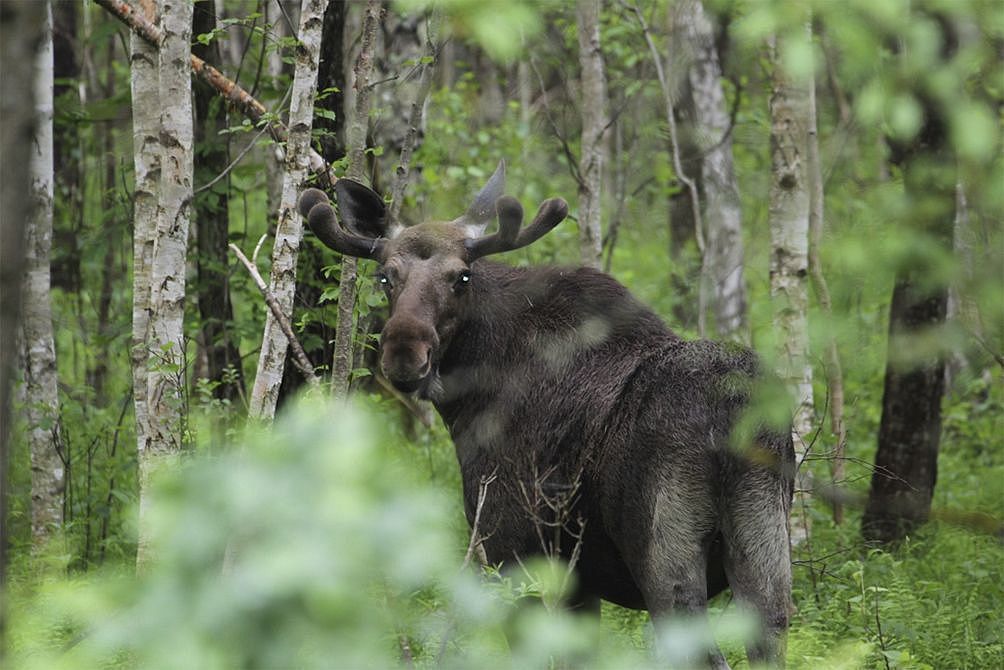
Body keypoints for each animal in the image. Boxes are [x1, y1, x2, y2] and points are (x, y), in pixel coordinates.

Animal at [295, 160, 791, 666]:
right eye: (386, 276)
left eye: (462, 277)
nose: (404, 351)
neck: (468, 401)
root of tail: (731, 414)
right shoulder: (579, 577)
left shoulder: (510, 550)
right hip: (764, 543)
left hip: (664, 551)